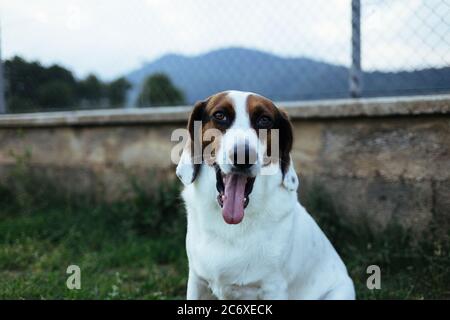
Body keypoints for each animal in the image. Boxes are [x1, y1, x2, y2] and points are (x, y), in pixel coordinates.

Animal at [176, 90, 356, 300]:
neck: (231, 227)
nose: (243, 156)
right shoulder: (197, 281)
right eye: (220, 115)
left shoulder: (274, 288)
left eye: (264, 120)